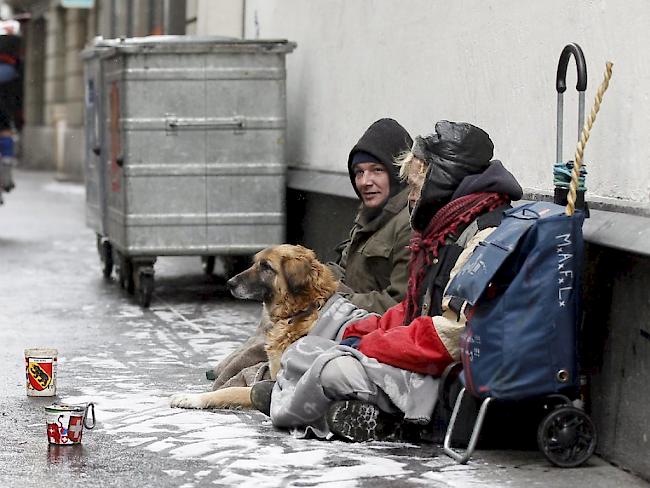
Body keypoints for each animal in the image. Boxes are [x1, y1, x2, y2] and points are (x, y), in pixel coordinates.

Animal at [170, 243, 336, 408]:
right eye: (255, 263)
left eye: (266, 266)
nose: (229, 283)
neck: (299, 312)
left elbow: (230, 391)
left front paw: (192, 398)